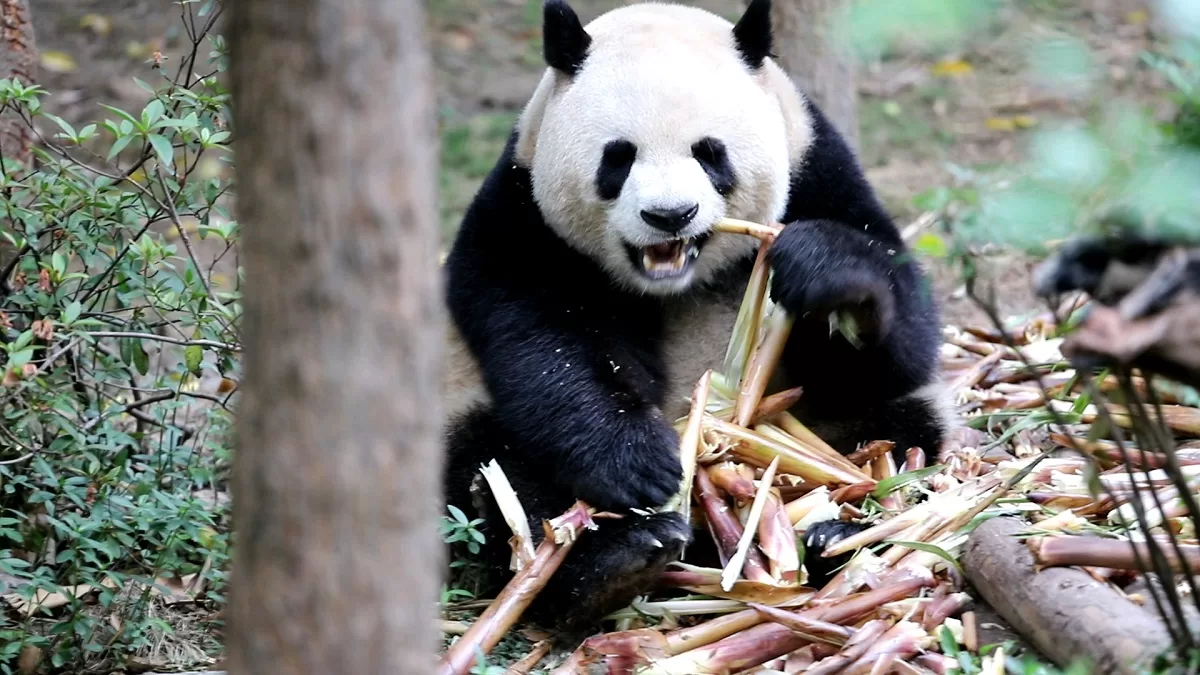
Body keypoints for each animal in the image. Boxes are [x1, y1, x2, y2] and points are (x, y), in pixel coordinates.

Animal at [441, 0, 952, 638]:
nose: (669, 215)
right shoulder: (523, 214)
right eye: (619, 156)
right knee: (498, 473)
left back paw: (838, 535)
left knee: (901, 434)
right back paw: (618, 560)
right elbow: (540, 339)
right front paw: (640, 464)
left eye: (710, 153)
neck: (675, 283)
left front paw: (824, 271)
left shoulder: (818, 171)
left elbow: (896, 340)